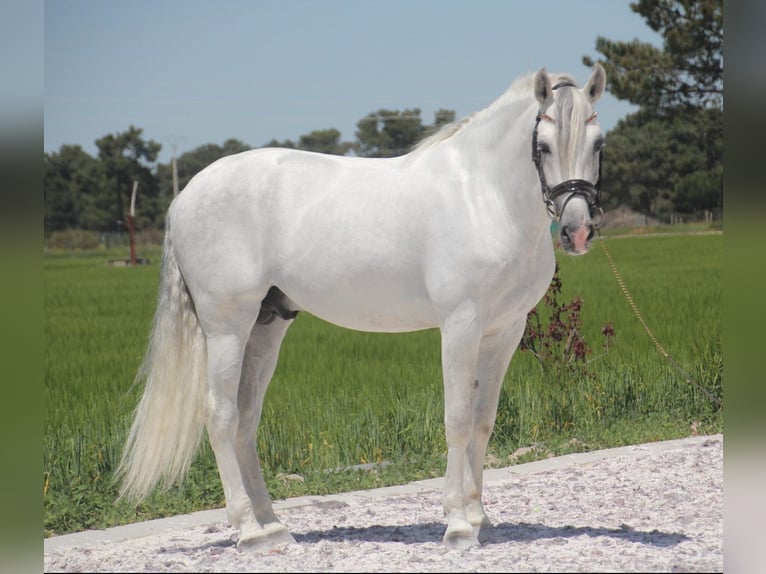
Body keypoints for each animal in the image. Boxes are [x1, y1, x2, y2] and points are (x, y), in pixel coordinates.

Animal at [120, 64, 608, 552]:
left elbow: (483, 422)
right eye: (543, 147)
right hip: (226, 329)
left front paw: (478, 517)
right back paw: (248, 531)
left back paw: (273, 527)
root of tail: (186, 195)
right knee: (219, 416)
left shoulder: (504, 331)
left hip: (265, 327)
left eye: (599, 143)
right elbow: (457, 420)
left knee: (245, 419)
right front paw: (457, 525)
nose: (577, 231)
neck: (483, 196)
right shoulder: (461, 325)